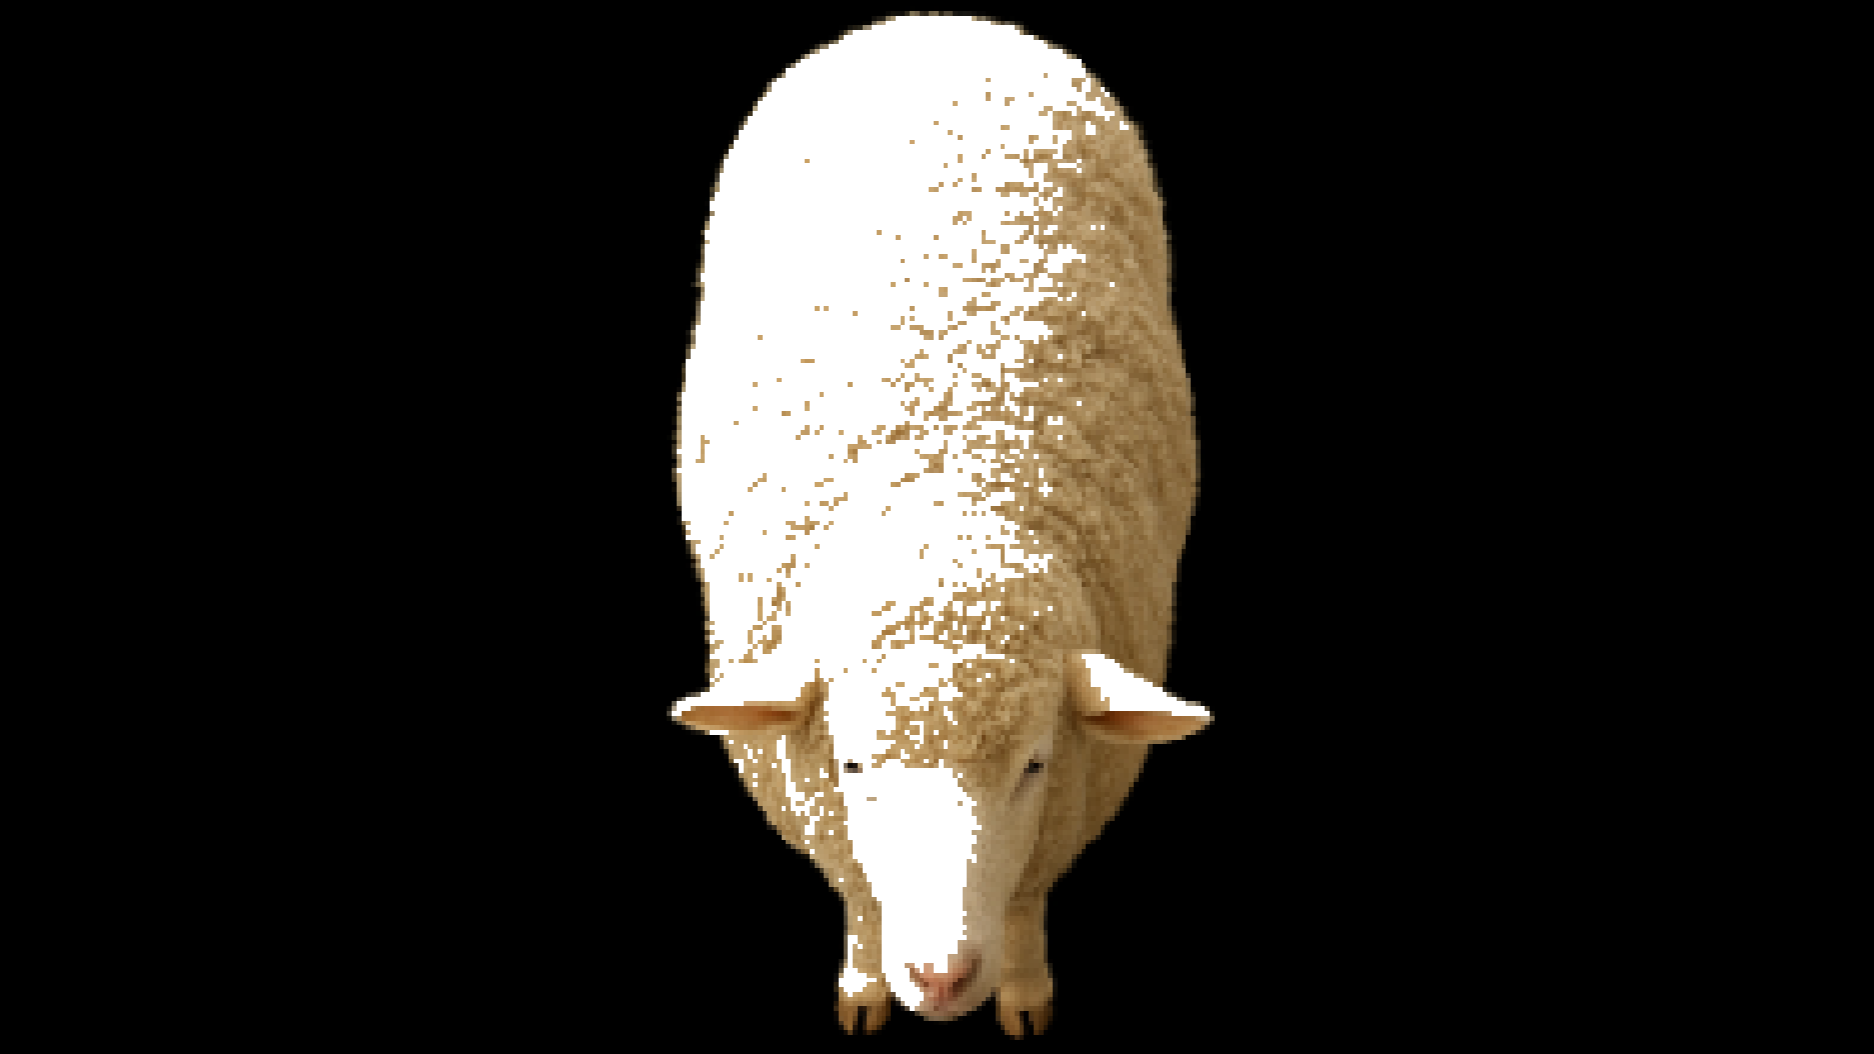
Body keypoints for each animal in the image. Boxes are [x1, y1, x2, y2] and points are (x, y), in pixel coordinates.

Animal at [671, 14, 1208, 1037]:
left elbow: (1030, 904)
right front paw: (863, 985)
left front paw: (1027, 994)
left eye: (1036, 764)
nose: (941, 975)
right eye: (849, 764)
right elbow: (856, 893)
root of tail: (933, 21)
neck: (941, 503)